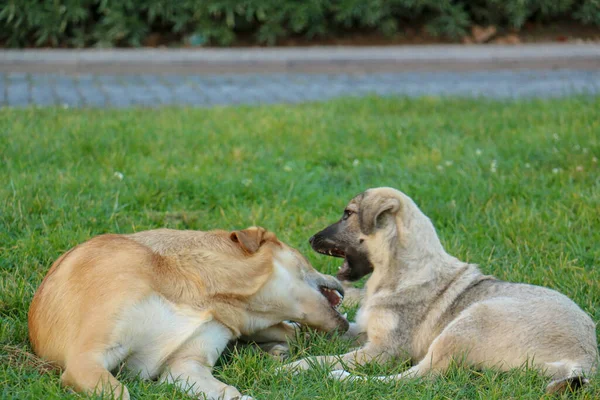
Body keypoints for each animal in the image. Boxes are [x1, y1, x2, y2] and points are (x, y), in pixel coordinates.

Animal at [29, 227, 346, 398]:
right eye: (306, 258)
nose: (342, 277)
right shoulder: (86, 360)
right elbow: (121, 391)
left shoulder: (185, 365)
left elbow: (228, 392)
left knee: (292, 332)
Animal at [282, 188, 600, 394]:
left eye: (348, 214)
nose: (310, 239)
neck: (399, 272)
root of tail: (585, 359)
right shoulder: (363, 330)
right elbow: (322, 333)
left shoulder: (383, 351)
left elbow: (323, 358)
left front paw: (296, 365)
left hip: (469, 321)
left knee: (414, 378)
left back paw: (341, 378)